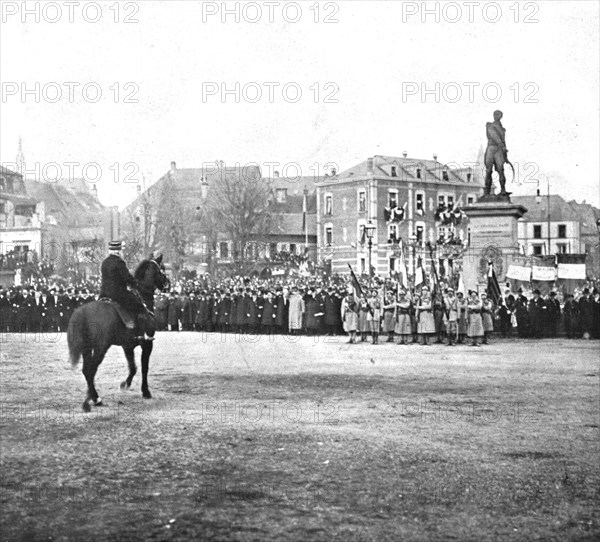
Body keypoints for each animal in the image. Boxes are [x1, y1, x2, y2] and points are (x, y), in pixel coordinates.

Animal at [67, 255, 169, 412]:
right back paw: (93, 399)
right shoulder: (147, 344)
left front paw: (125, 384)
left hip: (87, 348)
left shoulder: (128, 346)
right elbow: (144, 368)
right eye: (161, 269)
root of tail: (82, 311)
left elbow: (133, 368)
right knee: (91, 370)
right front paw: (145, 391)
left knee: (86, 370)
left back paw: (93, 398)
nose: (168, 285)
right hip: (101, 347)